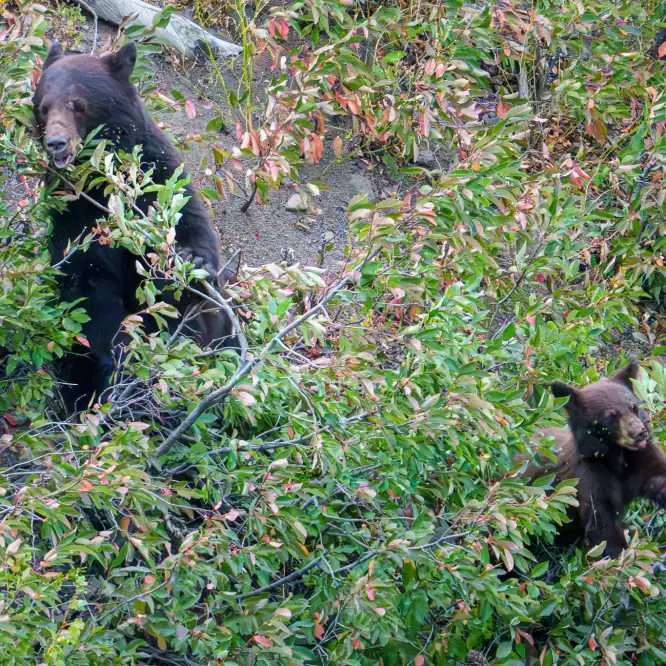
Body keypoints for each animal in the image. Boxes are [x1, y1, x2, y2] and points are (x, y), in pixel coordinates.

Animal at [33, 41, 237, 414]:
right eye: (43, 108)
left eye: (78, 104)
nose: (56, 143)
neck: (102, 181)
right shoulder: (71, 213)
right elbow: (87, 282)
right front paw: (121, 359)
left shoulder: (158, 174)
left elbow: (190, 222)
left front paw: (192, 263)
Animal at [517, 360, 666, 558]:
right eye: (610, 417)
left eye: (634, 407)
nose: (640, 433)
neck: (617, 458)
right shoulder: (589, 475)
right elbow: (600, 523)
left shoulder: (643, 459)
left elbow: (659, 476)